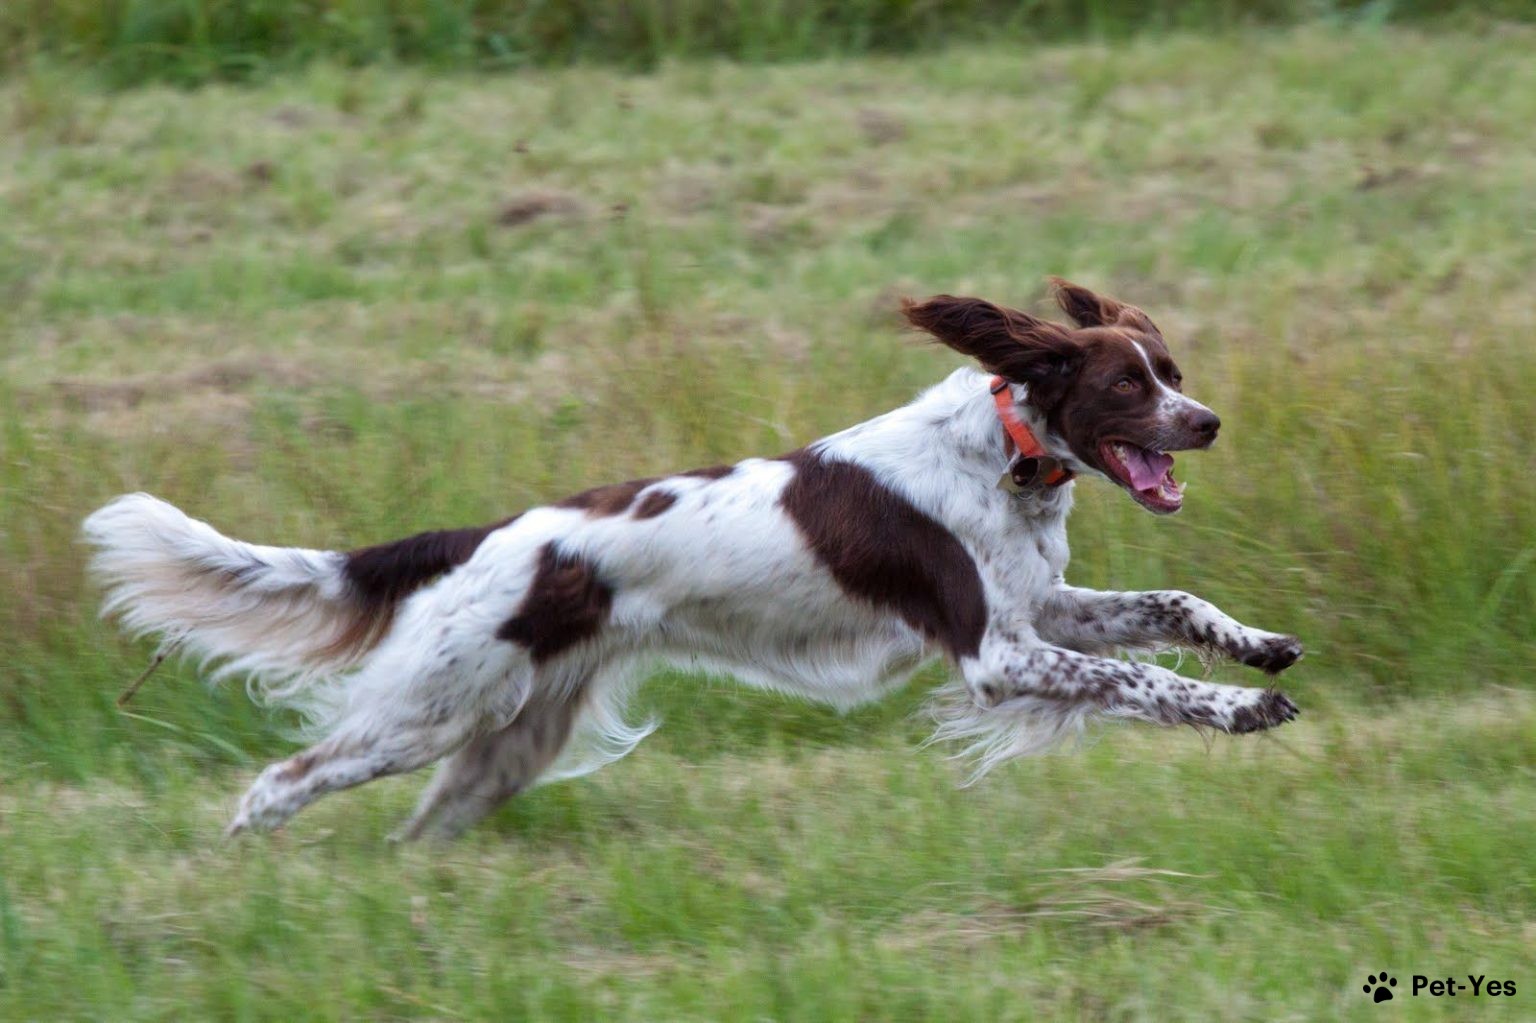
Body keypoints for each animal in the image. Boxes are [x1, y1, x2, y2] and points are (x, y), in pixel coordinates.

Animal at [84, 276, 1302, 835]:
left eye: (1173, 369)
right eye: (1126, 383)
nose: (1208, 422)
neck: (1005, 455)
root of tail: (493, 536)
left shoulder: (1039, 609)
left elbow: (1172, 603)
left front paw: (1259, 647)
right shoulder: (996, 652)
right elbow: (1140, 678)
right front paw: (1240, 710)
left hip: (506, 739)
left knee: (424, 819)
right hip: (431, 706)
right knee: (285, 776)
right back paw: (240, 860)